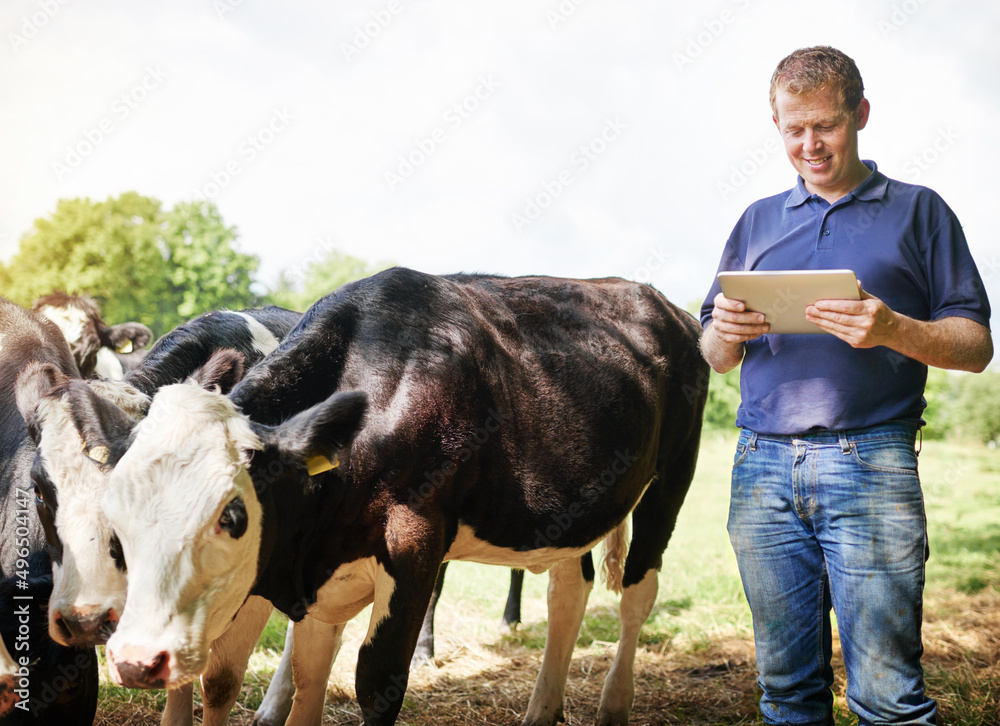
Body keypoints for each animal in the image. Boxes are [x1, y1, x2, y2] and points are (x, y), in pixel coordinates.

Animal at [103, 268, 712, 726]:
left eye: (231, 517)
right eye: (118, 523)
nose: (134, 658)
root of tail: (661, 302)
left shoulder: (414, 538)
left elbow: (375, 679)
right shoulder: (324, 564)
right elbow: (307, 669)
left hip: (674, 475)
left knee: (638, 591)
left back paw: (614, 706)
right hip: (573, 508)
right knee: (569, 589)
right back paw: (543, 710)